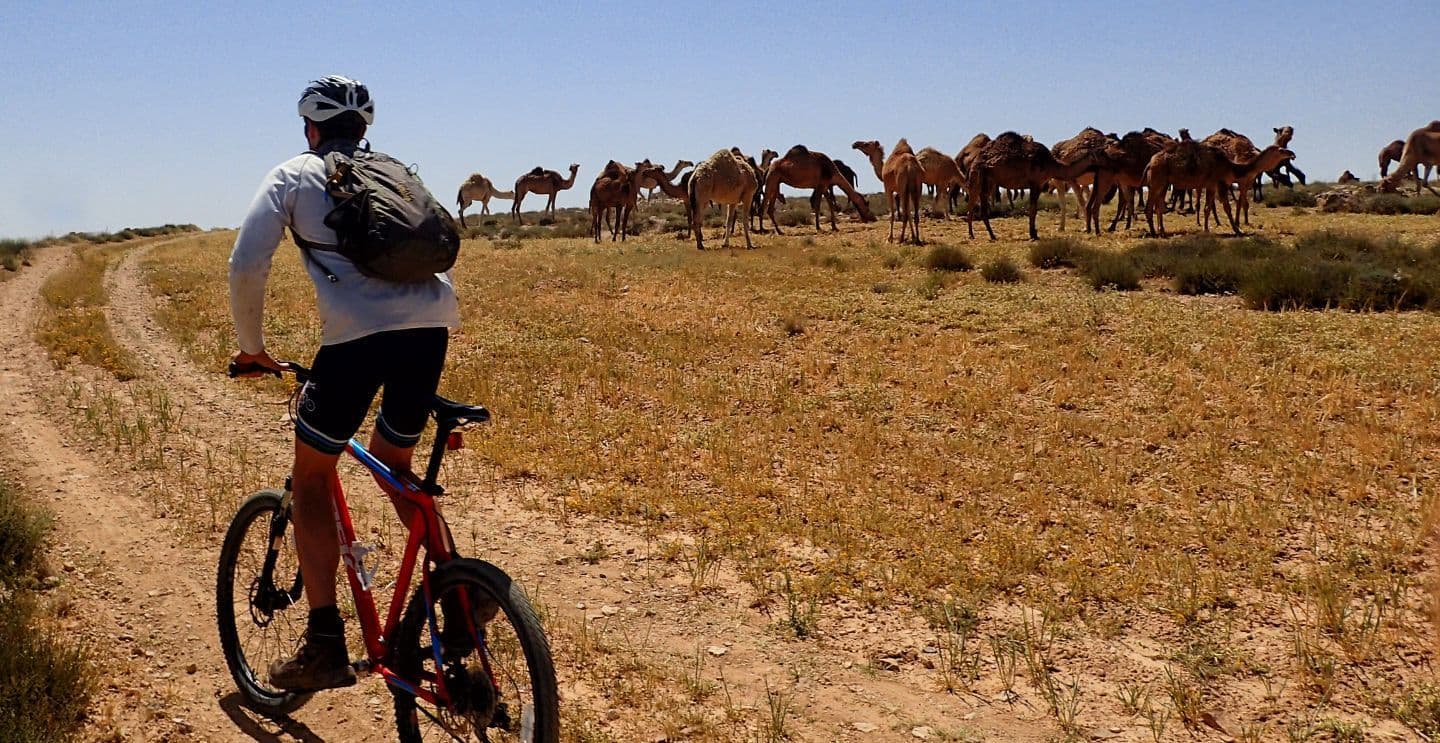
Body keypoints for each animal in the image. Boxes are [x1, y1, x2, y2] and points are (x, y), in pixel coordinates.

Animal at [961, 130, 1094, 240]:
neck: (1051, 164)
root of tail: (975, 161)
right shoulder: (1036, 183)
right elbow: (1033, 209)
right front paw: (1033, 235)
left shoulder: (1037, 184)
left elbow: (1032, 208)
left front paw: (1033, 233)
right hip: (980, 178)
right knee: (976, 207)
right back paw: (984, 235)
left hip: (985, 181)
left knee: (977, 207)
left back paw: (981, 235)